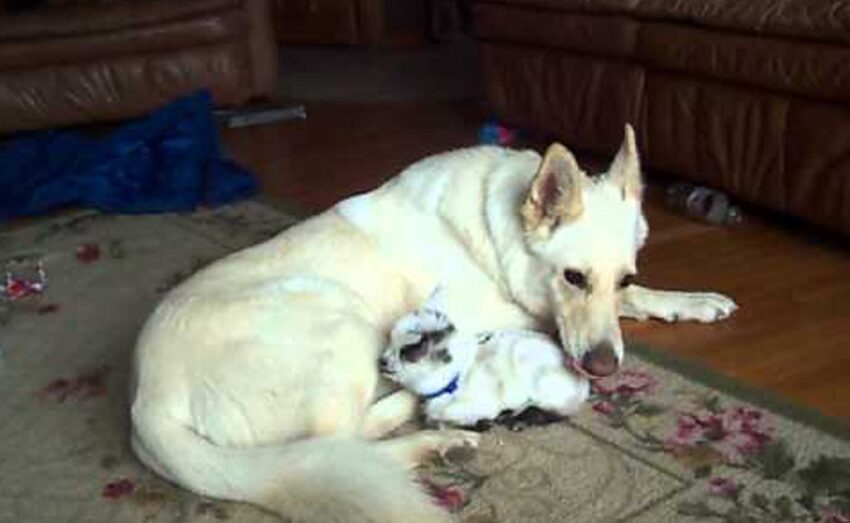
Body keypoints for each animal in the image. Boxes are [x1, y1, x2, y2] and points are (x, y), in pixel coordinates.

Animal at [380, 288, 588, 428]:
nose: (381, 361)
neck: (454, 383)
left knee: (559, 411)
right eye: (390, 340)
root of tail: (583, 384)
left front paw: (484, 423)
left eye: (409, 352)